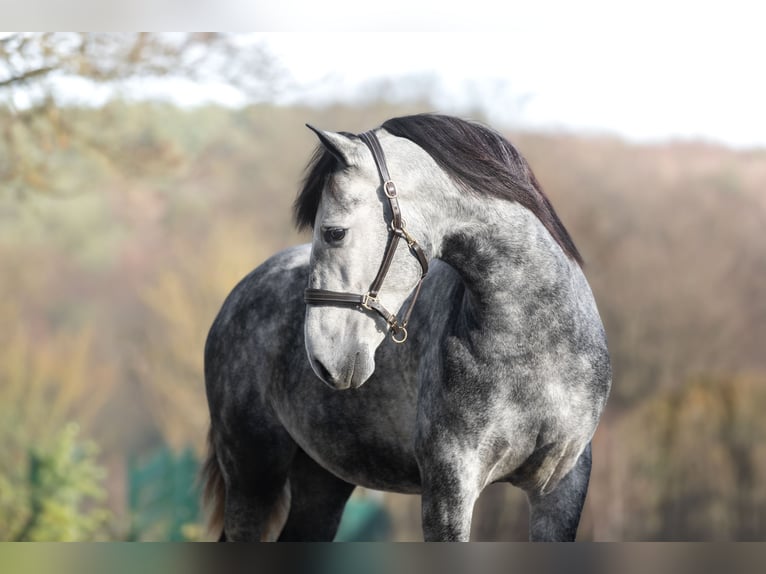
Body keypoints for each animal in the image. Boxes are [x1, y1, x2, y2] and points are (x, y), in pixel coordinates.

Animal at [202, 113, 611, 541]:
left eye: (334, 232)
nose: (322, 360)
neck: (534, 346)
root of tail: (240, 293)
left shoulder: (561, 488)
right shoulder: (449, 486)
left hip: (321, 480)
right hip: (252, 475)